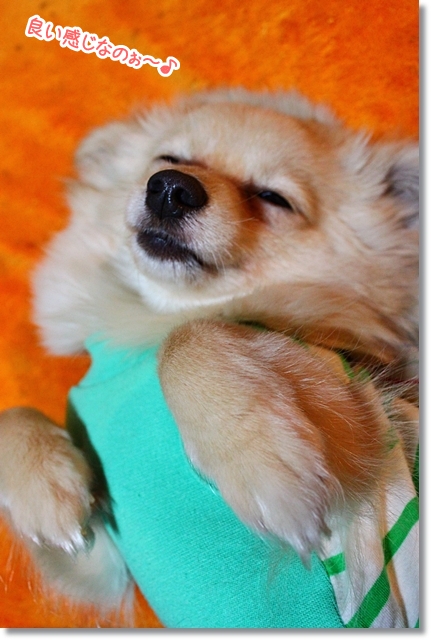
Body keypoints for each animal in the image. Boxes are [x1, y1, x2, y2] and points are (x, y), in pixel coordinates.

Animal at [0, 89, 419, 627]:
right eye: (168, 160)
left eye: (274, 198)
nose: (171, 188)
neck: (155, 317)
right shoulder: (102, 560)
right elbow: (14, 415)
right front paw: (42, 490)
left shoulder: (368, 420)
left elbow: (188, 337)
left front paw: (261, 461)